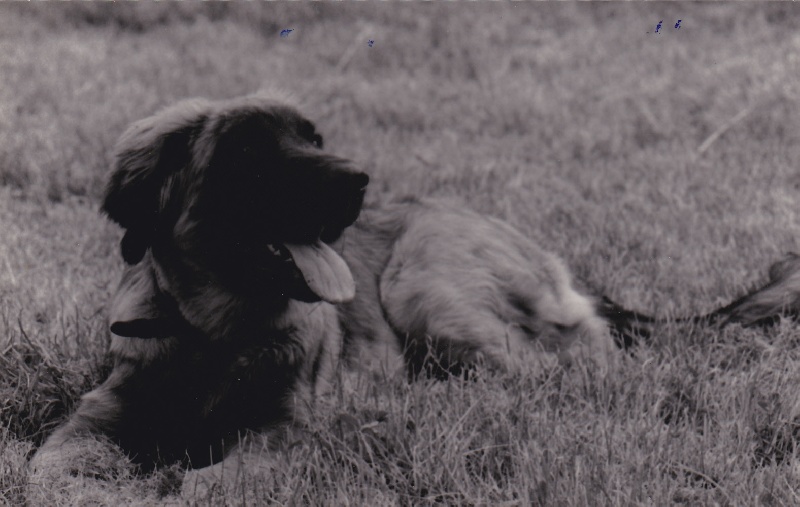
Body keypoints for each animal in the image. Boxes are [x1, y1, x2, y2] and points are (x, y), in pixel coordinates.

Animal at [28, 92, 800, 488]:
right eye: (248, 151)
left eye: (313, 137)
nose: (358, 180)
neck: (218, 334)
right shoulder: (94, 417)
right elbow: (57, 466)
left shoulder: (283, 430)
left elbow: (218, 479)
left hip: (426, 289)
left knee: (562, 371)